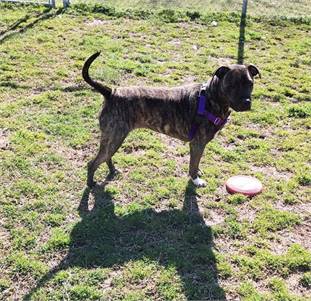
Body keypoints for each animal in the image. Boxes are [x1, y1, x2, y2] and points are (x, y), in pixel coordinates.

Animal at [83, 51, 260, 188]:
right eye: (231, 85)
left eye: (250, 84)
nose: (246, 102)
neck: (211, 97)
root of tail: (110, 92)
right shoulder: (197, 144)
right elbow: (193, 165)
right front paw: (196, 180)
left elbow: (196, 163)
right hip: (114, 138)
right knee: (92, 163)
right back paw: (91, 184)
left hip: (113, 139)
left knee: (106, 157)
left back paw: (112, 171)